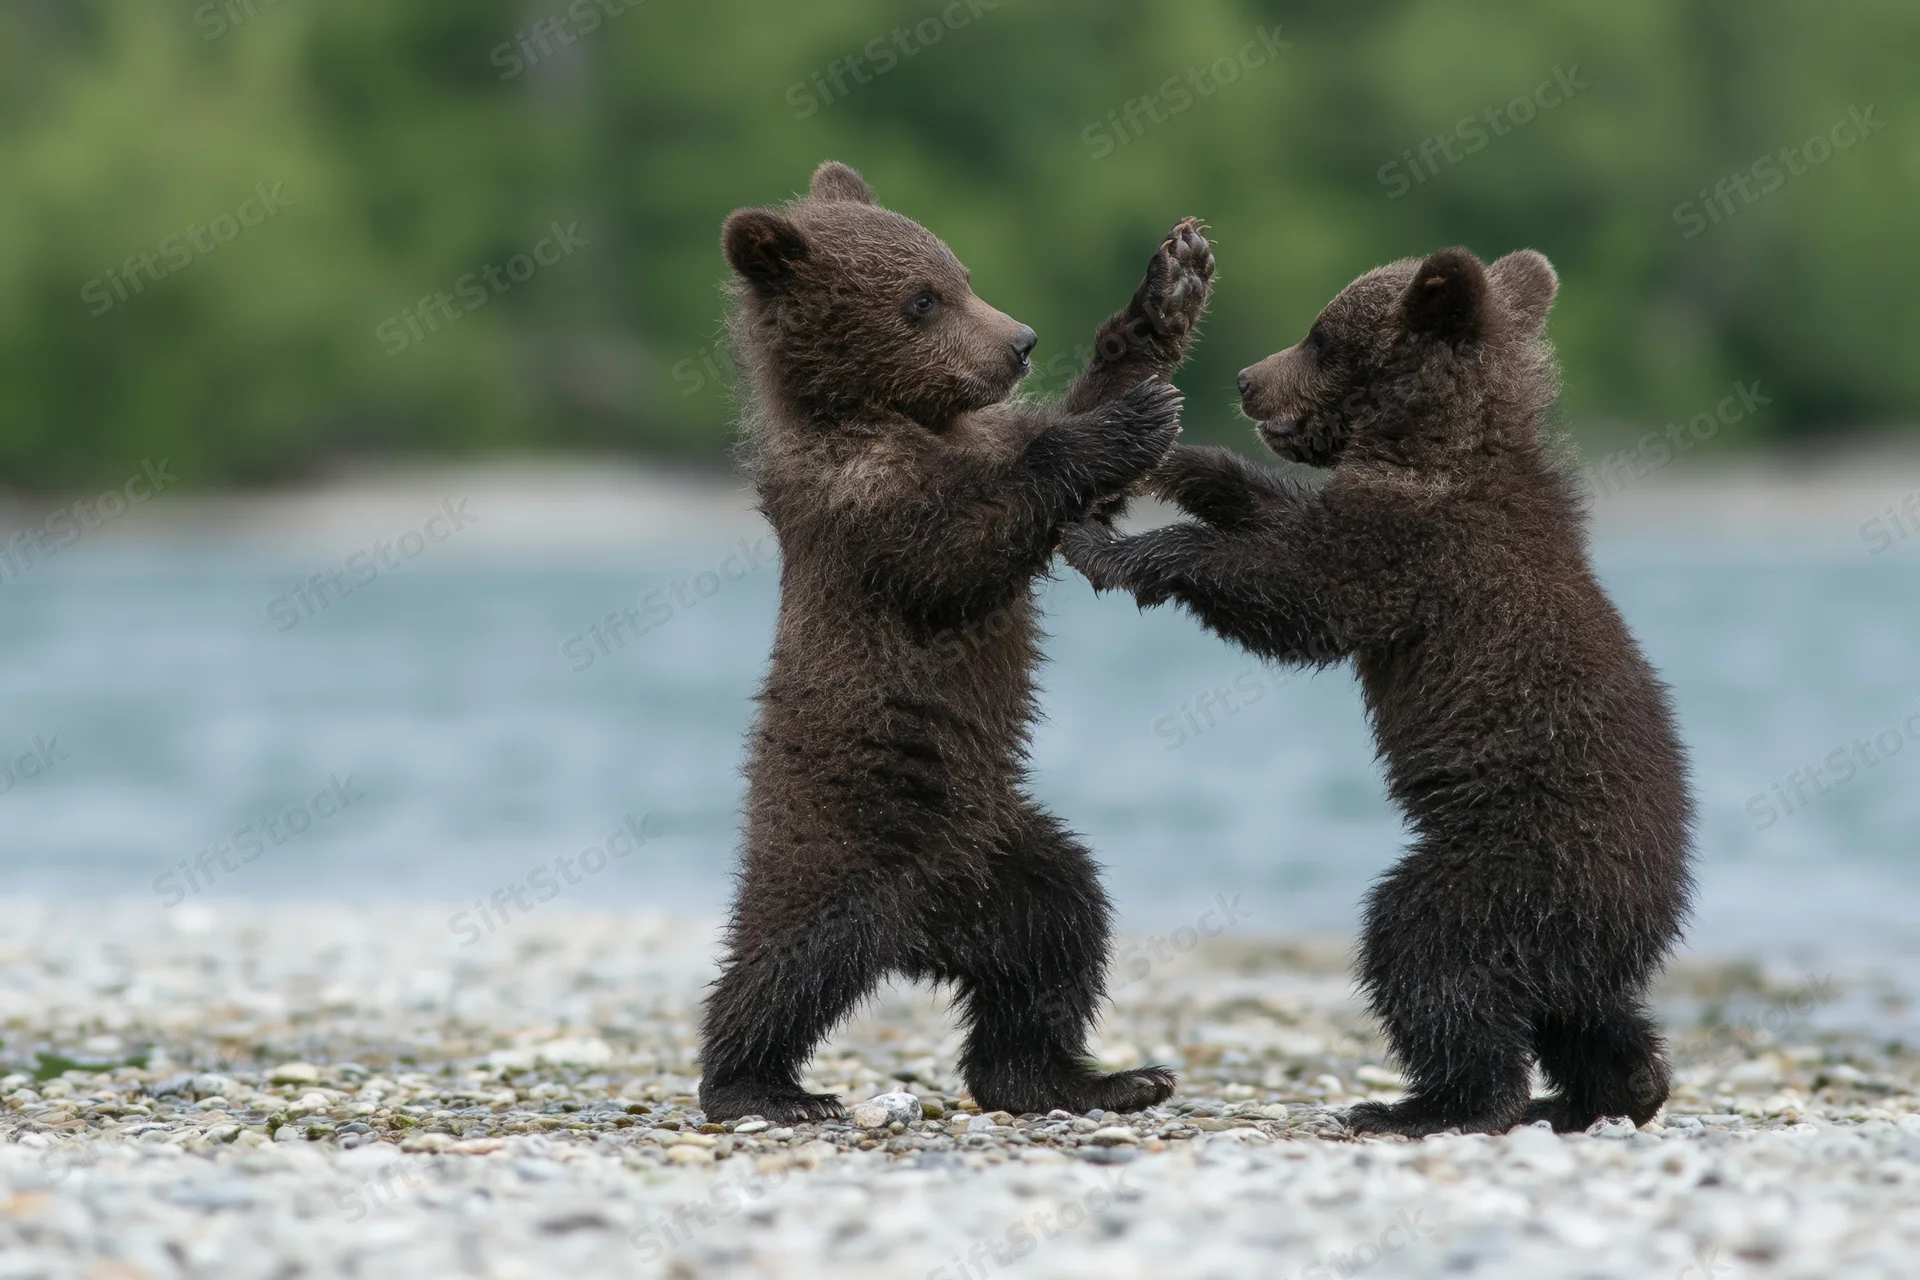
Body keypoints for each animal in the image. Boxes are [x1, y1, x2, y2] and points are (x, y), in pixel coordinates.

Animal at [696, 160, 1216, 1124]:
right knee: (784, 962)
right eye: (921, 299)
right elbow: (966, 544)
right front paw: (1126, 424)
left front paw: (1169, 289)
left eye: (962, 274)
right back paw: (760, 1086)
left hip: (1008, 859)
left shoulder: (978, 429)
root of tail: (922, 937)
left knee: (1060, 938)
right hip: (839, 844)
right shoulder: (862, 500)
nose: (1018, 340)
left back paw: (1094, 1077)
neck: (895, 413)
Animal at [1061, 246, 1695, 1136]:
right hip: (1563, 936)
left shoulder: (1414, 552)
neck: (1427, 444)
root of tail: (1660, 900)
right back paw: (1608, 1089)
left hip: (1511, 870)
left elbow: (1295, 594)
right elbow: (1278, 515)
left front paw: (1114, 547)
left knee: (1426, 954)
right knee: (1584, 1015)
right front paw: (1184, 462)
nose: (1248, 378)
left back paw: (1431, 1105)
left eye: (1321, 337)